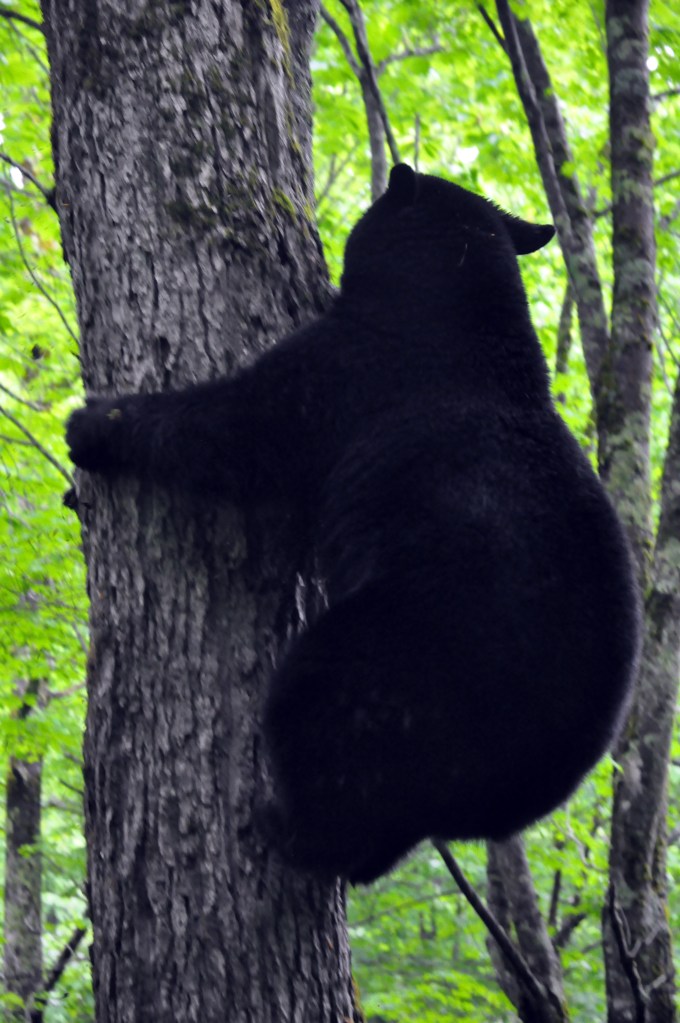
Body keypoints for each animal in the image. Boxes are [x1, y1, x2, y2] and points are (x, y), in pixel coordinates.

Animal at [66, 163, 640, 885]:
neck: (453, 307)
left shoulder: (351, 370)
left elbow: (239, 430)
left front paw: (96, 425)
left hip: (397, 661)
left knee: (313, 709)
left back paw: (286, 825)